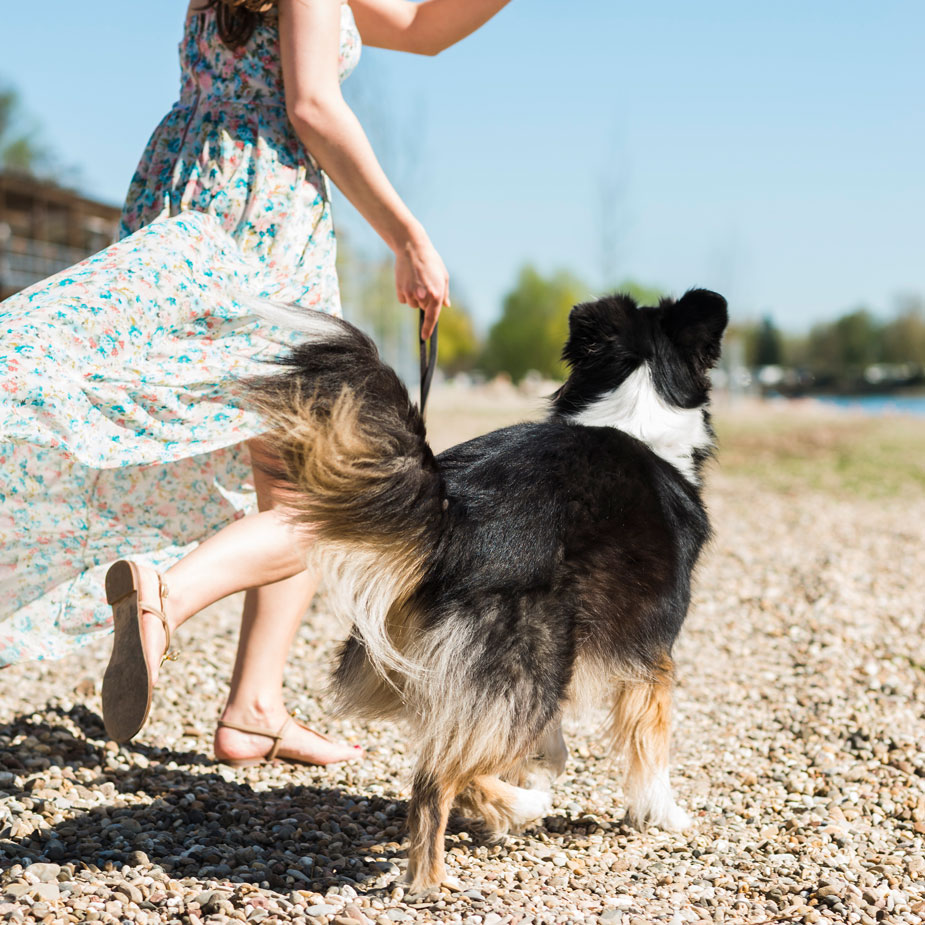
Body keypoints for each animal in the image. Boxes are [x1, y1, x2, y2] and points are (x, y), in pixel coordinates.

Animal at [249, 286, 724, 888]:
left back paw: (513, 807)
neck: (635, 407)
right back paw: (436, 878)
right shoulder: (653, 652)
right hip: (531, 660)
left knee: (451, 758)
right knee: (434, 779)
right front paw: (663, 814)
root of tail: (451, 518)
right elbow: (651, 745)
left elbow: (553, 749)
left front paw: (532, 780)